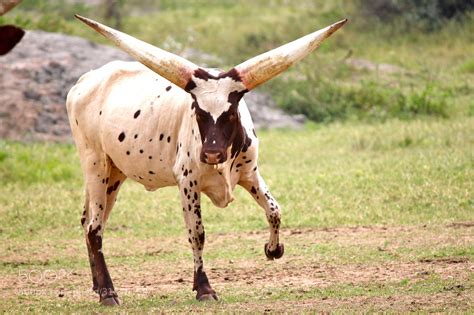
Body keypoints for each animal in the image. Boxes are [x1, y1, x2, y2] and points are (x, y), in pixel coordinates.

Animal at [66, 14, 346, 306]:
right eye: (198, 112)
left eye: (231, 113)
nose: (212, 153)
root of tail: (84, 81)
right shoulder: (188, 182)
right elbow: (197, 233)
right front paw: (204, 288)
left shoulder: (250, 174)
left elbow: (274, 210)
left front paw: (273, 249)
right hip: (95, 164)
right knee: (95, 229)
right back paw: (108, 292)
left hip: (114, 173)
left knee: (88, 221)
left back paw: (98, 286)